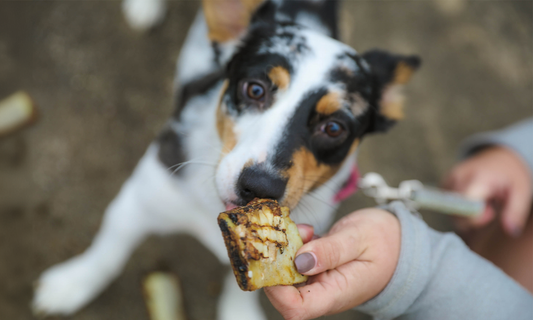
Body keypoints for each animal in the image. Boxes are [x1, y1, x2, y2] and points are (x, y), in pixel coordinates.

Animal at [32, 1, 420, 318]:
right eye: (255, 89)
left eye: (335, 128)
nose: (260, 186)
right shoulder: (138, 200)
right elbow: (107, 254)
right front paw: (72, 284)